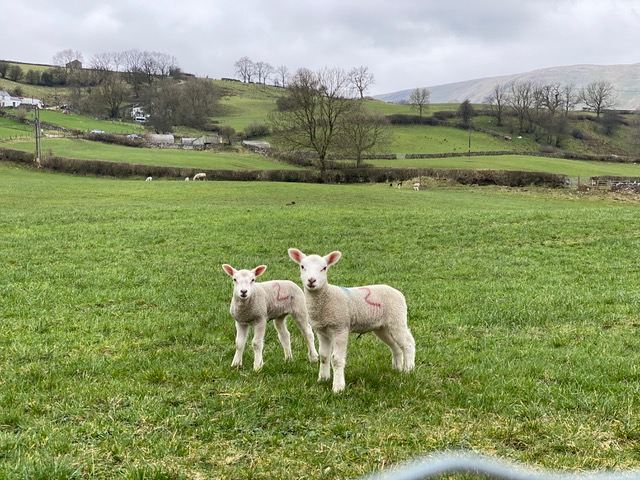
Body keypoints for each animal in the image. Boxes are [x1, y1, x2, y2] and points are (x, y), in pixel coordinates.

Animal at [288, 248, 415, 393]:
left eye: (324, 268)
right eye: (302, 266)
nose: (311, 280)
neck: (327, 296)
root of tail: (399, 293)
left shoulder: (340, 328)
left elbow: (336, 359)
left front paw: (338, 387)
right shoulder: (322, 331)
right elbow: (324, 356)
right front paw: (323, 379)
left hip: (397, 319)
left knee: (408, 343)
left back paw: (408, 370)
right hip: (382, 327)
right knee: (395, 346)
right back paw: (397, 369)